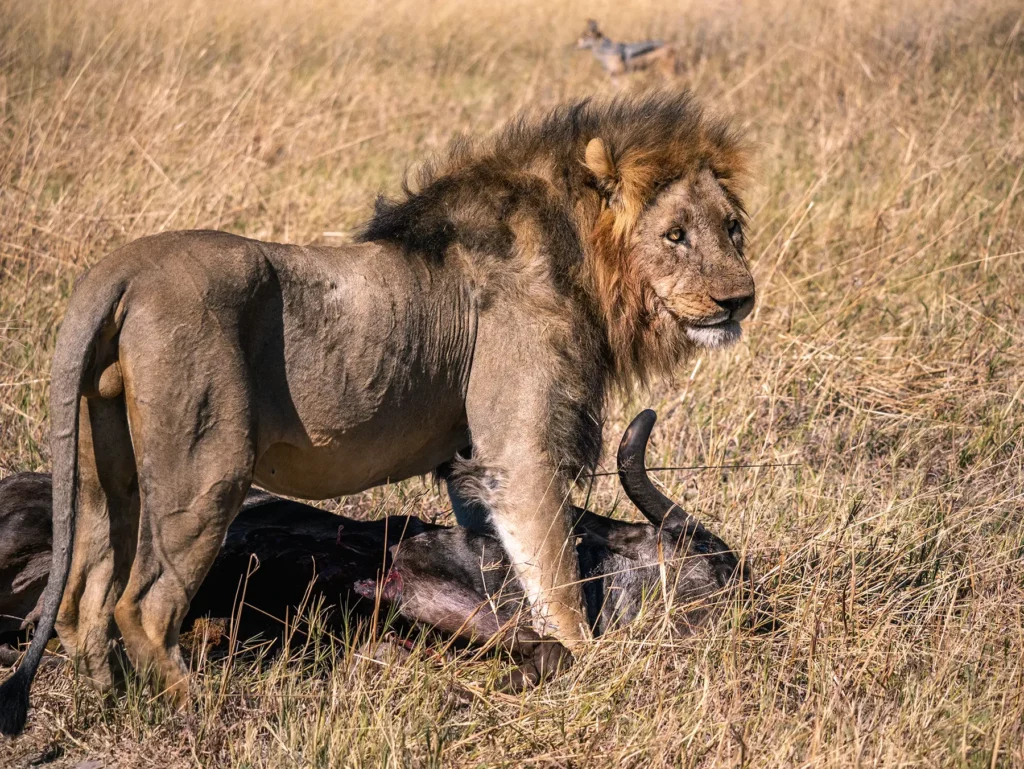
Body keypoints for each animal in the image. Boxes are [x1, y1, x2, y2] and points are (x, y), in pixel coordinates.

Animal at [0, 91, 755, 735]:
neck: (584, 260)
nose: (740, 300)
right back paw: (201, 710)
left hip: (104, 464)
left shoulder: (469, 459)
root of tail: (121, 271)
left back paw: (106, 698)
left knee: (83, 598)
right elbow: (558, 576)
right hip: (206, 468)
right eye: (675, 235)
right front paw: (593, 666)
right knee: (142, 606)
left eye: (732, 229)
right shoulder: (520, 447)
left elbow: (498, 548)